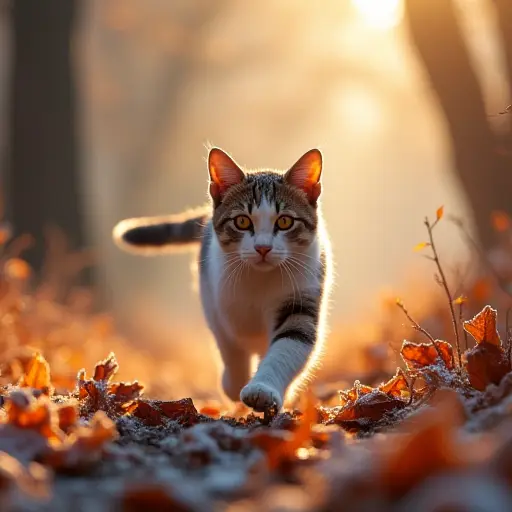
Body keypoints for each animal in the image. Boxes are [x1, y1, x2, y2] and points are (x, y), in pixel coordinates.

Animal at [113, 148, 332, 412]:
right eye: (242, 221)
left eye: (285, 221)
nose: (263, 248)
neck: (259, 281)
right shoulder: (214, 297)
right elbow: (229, 345)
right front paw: (234, 385)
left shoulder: (302, 292)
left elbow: (291, 341)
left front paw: (262, 390)